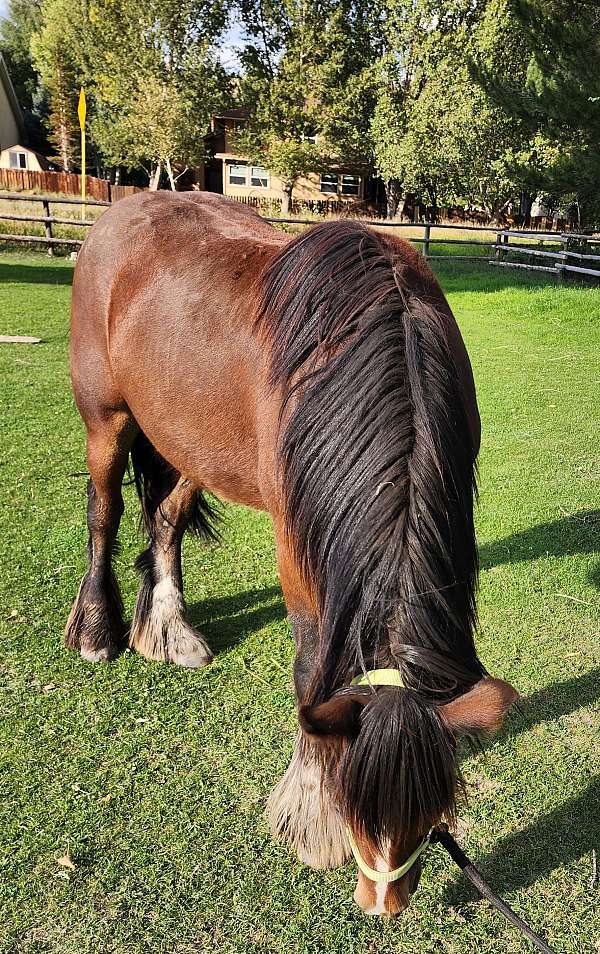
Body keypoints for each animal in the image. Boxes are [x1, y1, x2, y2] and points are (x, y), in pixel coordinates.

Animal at [64, 192, 516, 916]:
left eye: (434, 806)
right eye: (355, 802)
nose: (382, 904)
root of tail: (120, 211)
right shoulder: (296, 547)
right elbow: (311, 670)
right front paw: (309, 815)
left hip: (191, 440)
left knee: (165, 518)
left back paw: (170, 630)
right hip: (106, 417)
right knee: (103, 515)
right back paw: (97, 633)